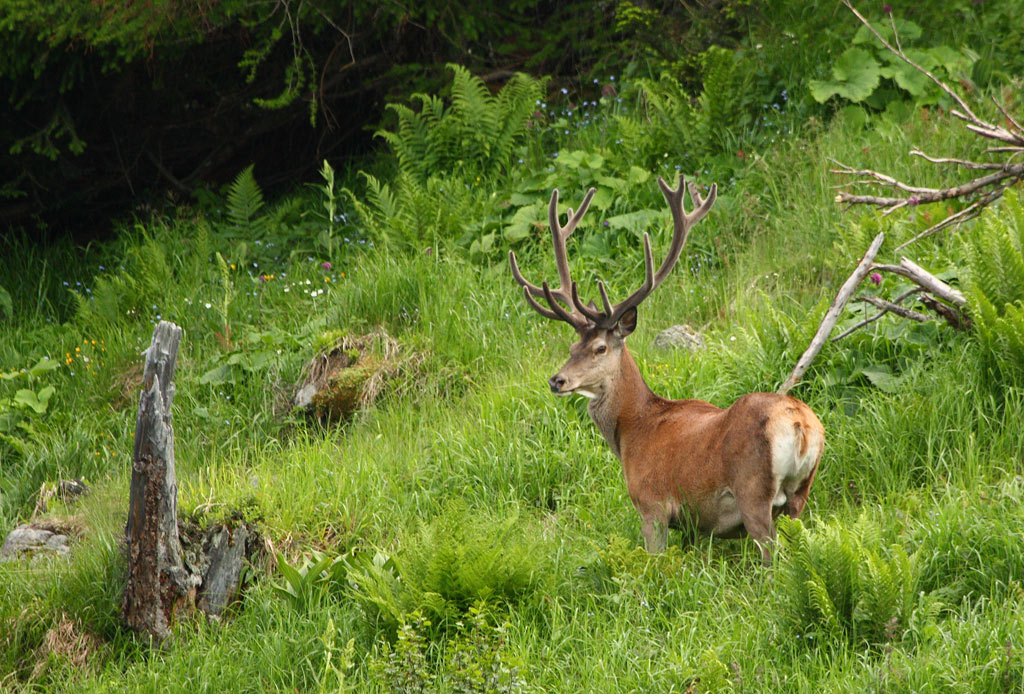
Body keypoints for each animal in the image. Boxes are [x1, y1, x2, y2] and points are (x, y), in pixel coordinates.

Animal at [508, 173, 824, 563]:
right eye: (571, 348)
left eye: (599, 348)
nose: (557, 380)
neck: (633, 429)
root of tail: (800, 425)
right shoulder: (696, 527)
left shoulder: (651, 504)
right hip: (800, 494)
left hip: (753, 491)